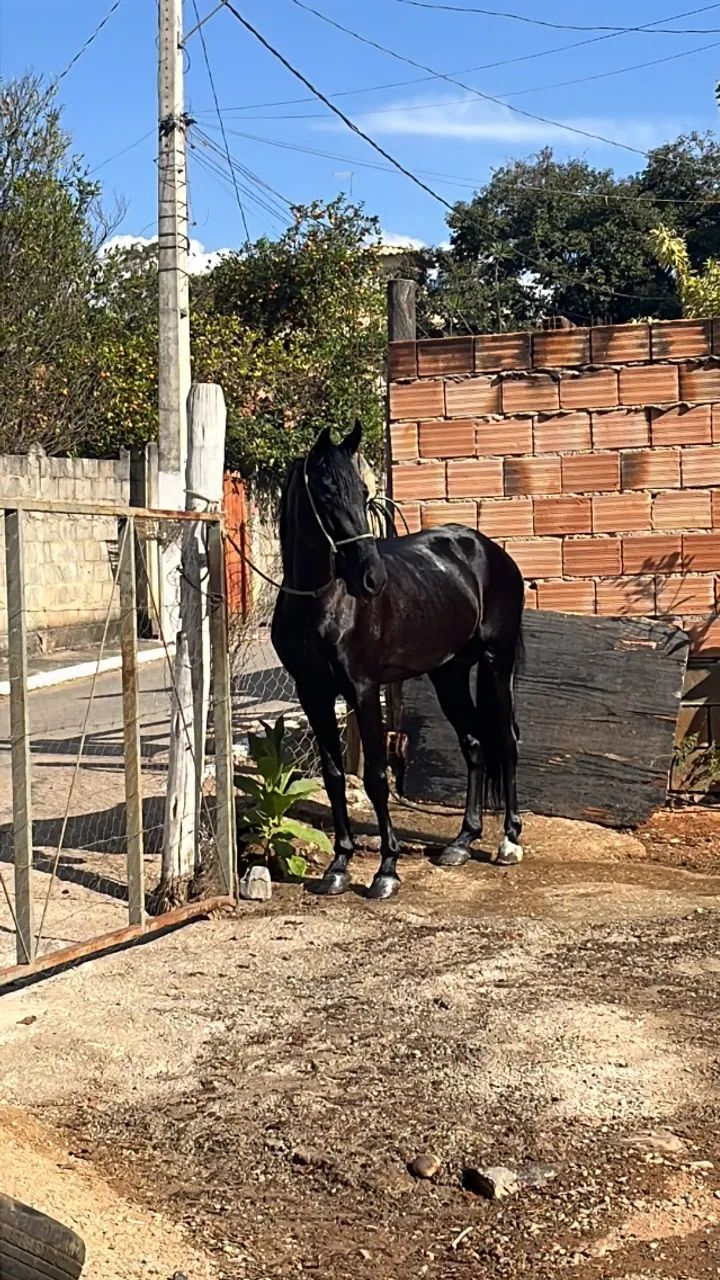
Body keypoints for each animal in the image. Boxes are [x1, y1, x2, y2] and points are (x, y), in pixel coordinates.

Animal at [271, 421, 526, 900]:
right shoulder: (313, 693)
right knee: (474, 744)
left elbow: (375, 777)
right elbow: (334, 776)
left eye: (363, 492)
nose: (372, 579)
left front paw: (386, 869)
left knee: (506, 742)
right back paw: (462, 842)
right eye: (327, 494)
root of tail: (488, 550)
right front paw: (338, 866)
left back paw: (510, 841)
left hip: (496, 666)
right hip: (449, 673)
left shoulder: (363, 690)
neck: (322, 603)